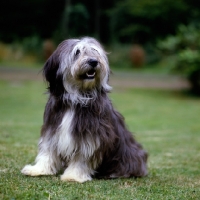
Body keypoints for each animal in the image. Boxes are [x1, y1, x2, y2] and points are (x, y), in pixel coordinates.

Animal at [21, 36, 148, 183]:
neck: (76, 99)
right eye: (77, 52)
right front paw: (38, 169)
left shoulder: (92, 135)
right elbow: (48, 151)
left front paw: (73, 175)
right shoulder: (52, 129)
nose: (93, 61)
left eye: (95, 51)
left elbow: (82, 157)